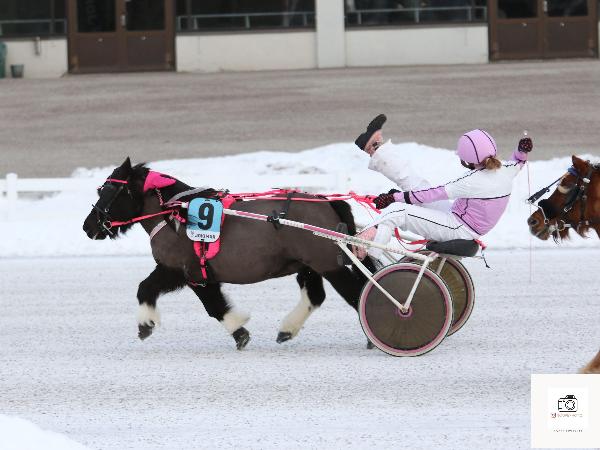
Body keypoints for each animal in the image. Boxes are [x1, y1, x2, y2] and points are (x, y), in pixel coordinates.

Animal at [83, 157, 375, 350]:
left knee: (357, 293)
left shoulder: (189, 272)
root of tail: (327, 203)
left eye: (108, 191)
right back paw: (287, 329)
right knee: (315, 296)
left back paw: (371, 336)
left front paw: (239, 331)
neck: (177, 214)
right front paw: (146, 323)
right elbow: (145, 288)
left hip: (327, 264)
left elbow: (213, 306)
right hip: (308, 264)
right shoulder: (176, 271)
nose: (89, 226)